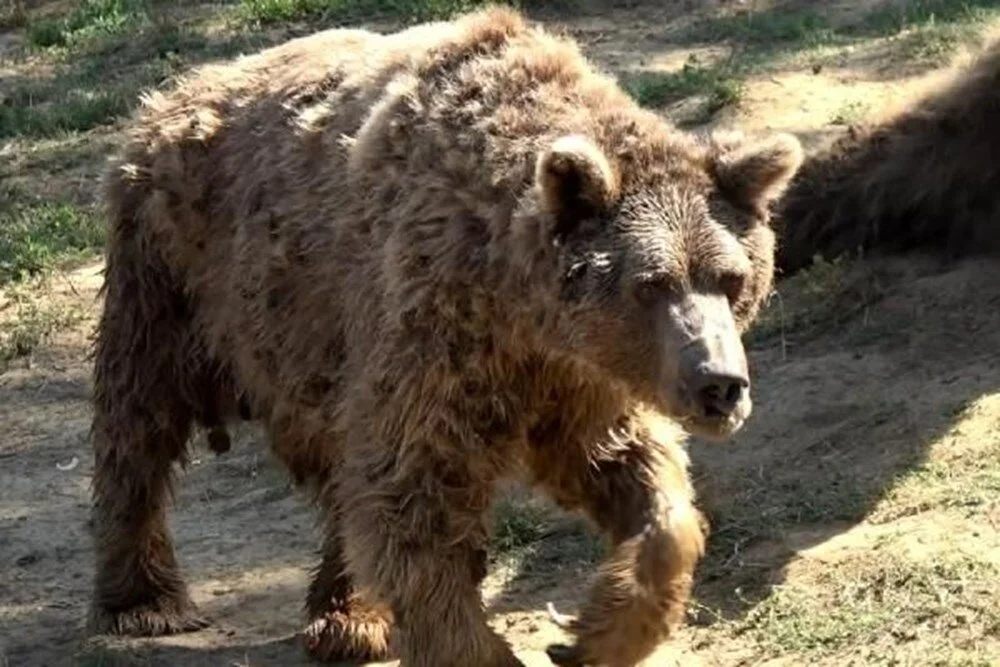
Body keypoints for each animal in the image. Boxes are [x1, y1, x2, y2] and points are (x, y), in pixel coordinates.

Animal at [88, 6, 804, 667]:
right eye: (651, 284)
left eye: (732, 278)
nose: (720, 384)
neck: (518, 304)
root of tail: (177, 90)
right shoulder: (436, 329)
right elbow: (414, 492)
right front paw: (485, 647)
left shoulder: (576, 377)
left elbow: (636, 474)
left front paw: (595, 631)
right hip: (174, 274)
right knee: (141, 419)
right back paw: (145, 600)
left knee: (337, 468)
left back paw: (350, 615)